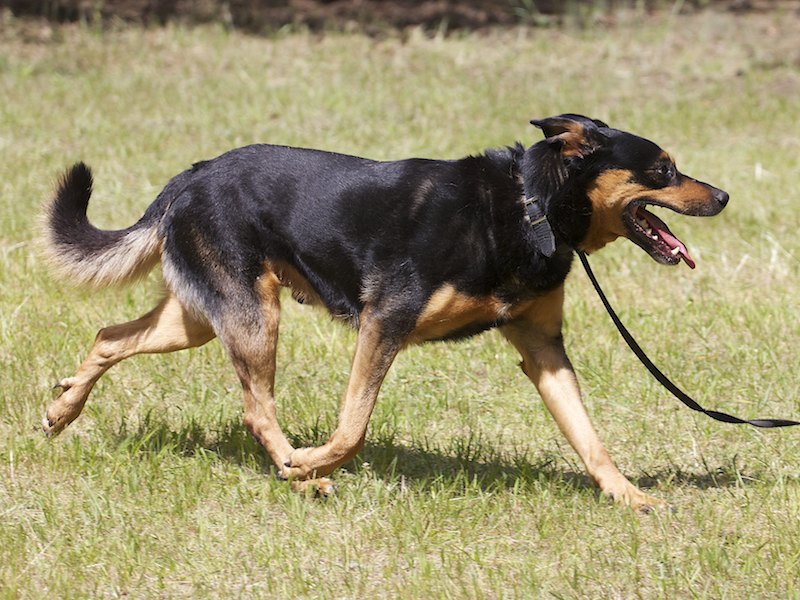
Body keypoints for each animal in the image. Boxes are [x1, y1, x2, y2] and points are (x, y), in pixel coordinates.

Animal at [41, 114, 728, 510]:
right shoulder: (384, 323)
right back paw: (299, 473)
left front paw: (628, 496)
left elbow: (589, 437)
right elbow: (352, 429)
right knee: (255, 408)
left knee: (109, 335)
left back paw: (62, 409)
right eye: (663, 168)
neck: (531, 205)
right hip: (252, 318)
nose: (723, 195)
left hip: (201, 319)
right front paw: (310, 461)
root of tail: (188, 178)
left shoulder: (543, 350)